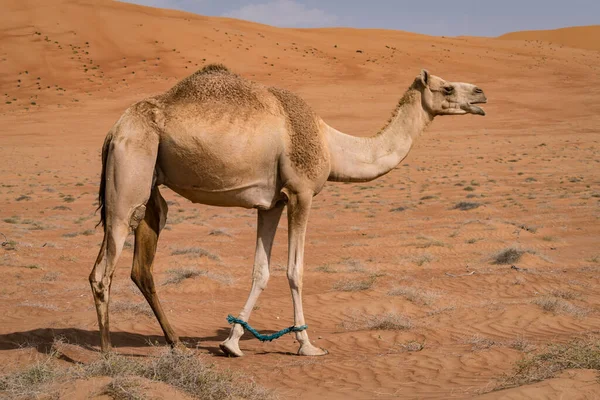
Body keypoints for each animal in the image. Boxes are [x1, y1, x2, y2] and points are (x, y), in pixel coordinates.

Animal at [90, 64, 488, 358]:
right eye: (447, 88)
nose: (482, 94)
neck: (331, 144)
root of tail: (113, 131)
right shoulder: (301, 193)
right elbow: (295, 271)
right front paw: (307, 344)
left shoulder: (272, 203)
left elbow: (260, 271)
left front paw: (231, 342)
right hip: (132, 168)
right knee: (103, 270)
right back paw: (108, 352)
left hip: (150, 187)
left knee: (142, 265)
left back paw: (175, 343)